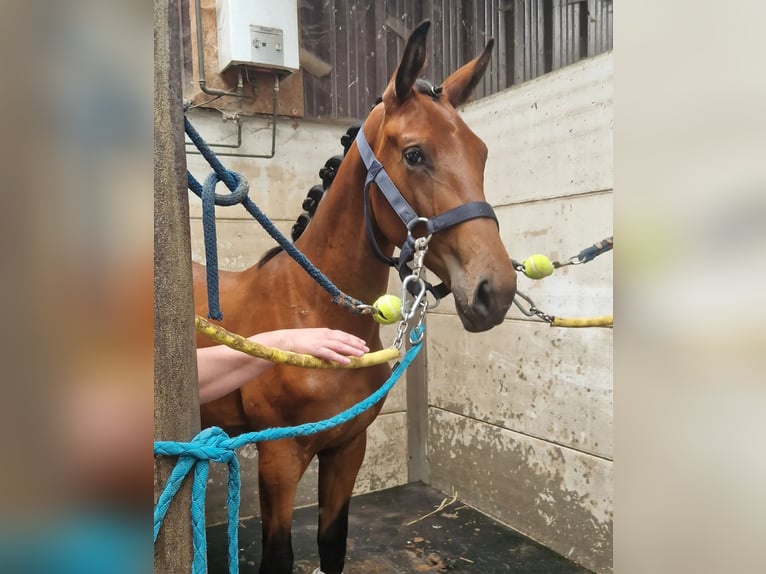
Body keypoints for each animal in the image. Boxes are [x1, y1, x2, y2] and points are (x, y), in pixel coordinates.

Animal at [194, 20, 516, 574]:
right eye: (414, 154)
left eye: (482, 153)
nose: (494, 290)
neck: (311, 311)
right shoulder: (278, 459)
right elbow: (279, 555)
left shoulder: (347, 449)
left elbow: (333, 543)